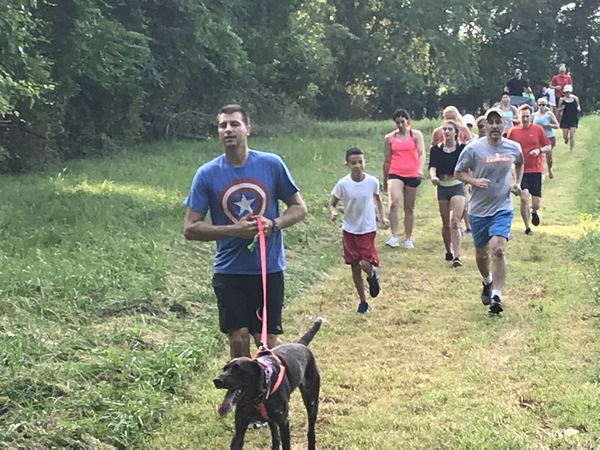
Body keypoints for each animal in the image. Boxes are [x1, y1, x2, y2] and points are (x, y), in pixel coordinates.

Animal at [214, 316, 326, 450]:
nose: (216, 380)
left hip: (311, 401)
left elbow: (286, 444)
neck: (257, 397)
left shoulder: (283, 422)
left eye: (239, 370)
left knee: (311, 430)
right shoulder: (240, 429)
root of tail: (300, 344)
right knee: (275, 436)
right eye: (224, 369)